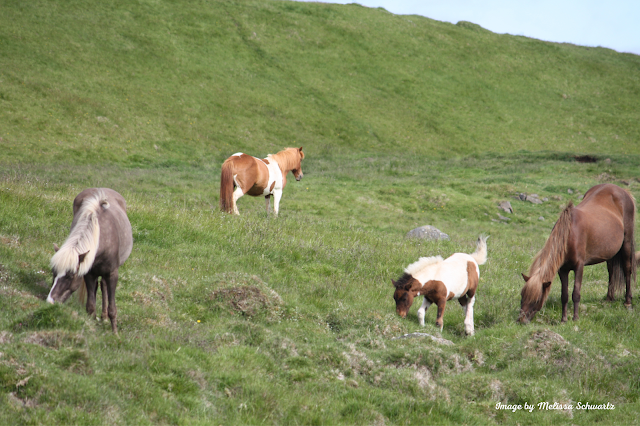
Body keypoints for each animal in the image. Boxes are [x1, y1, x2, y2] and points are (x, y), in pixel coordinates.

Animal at [48, 189, 133, 332]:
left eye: (70, 276)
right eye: (54, 273)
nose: (50, 301)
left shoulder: (112, 274)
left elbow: (112, 308)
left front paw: (115, 333)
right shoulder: (89, 274)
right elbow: (91, 306)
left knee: (104, 286)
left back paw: (104, 318)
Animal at [520, 183, 636, 322]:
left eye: (536, 300)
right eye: (522, 295)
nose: (520, 320)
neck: (569, 235)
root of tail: (624, 191)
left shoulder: (579, 266)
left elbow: (576, 293)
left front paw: (575, 318)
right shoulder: (563, 270)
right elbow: (564, 295)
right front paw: (564, 319)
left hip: (626, 243)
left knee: (627, 269)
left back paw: (628, 302)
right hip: (609, 252)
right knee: (611, 270)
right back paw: (609, 298)